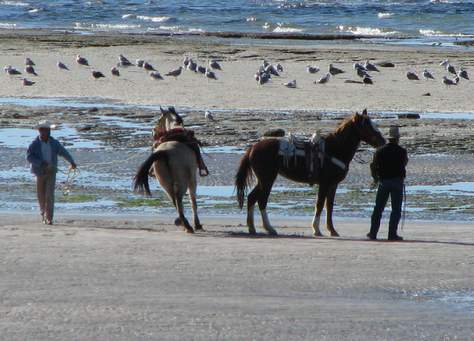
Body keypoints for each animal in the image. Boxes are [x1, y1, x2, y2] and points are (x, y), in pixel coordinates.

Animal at [235, 109, 386, 236]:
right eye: (367, 126)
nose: (383, 141)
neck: (334, 149)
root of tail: (253, 148)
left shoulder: (333, 185)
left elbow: (329, 207)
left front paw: (332, 230)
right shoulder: (325, 184)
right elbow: (319, 205)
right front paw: (317, 229)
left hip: (263, 180)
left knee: (251, 198)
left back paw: (252, 228)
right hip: (267, 180)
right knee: (261, 201)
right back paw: (269, 228)